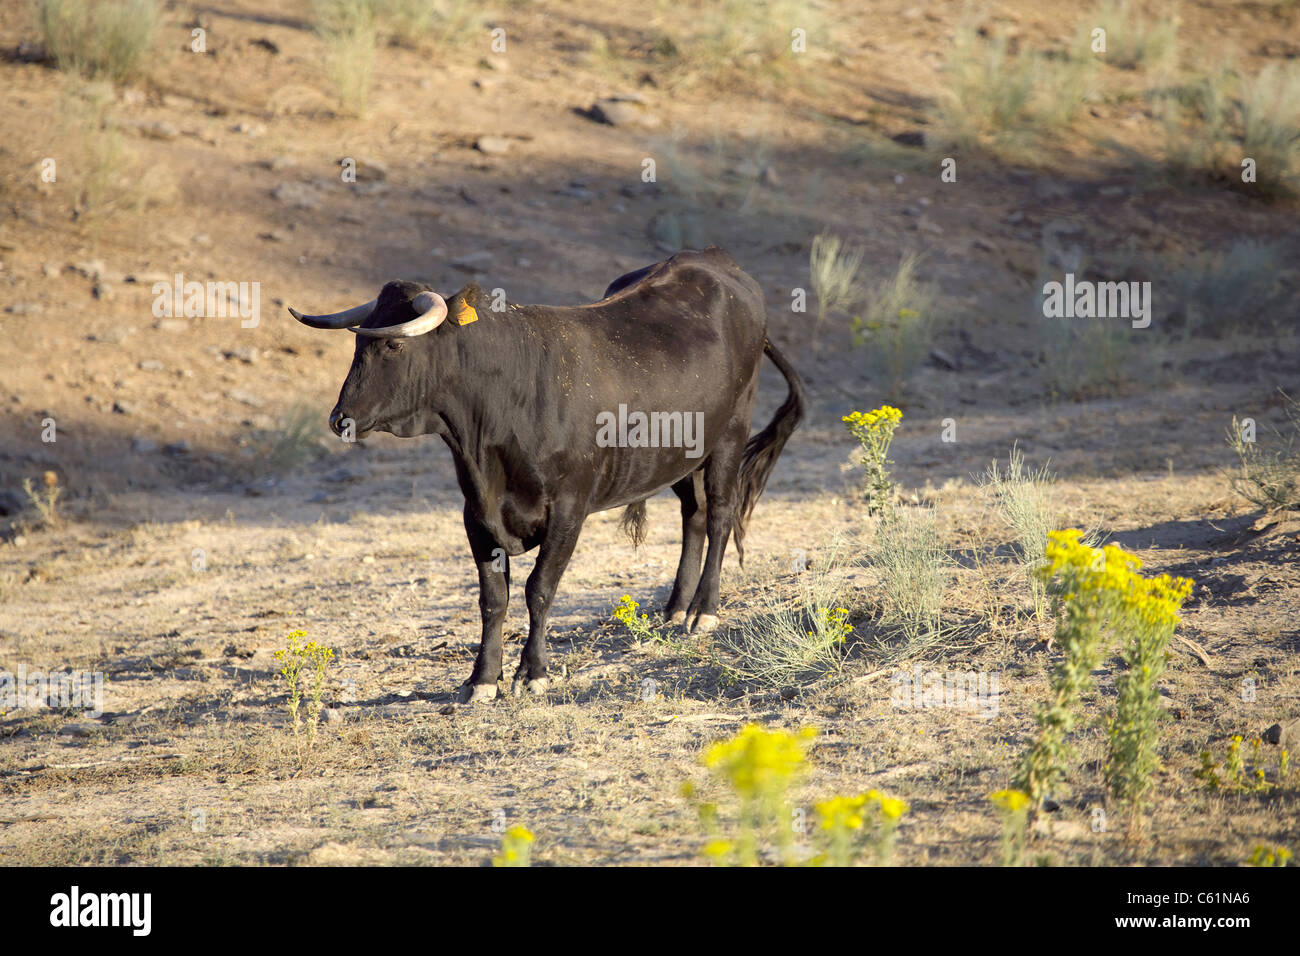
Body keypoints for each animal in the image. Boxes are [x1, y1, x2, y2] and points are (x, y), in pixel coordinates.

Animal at [289, 251, 806, 702]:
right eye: (358, 343)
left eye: (394, 344)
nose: (340, 419)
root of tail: (717, 262)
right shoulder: (476, 515)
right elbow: (493, 598)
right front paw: (482, 680)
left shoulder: (568, 511)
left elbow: (539, 589)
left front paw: (532, 673)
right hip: (680, 453)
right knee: (693, 516)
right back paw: (676, 606)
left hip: (731, 434)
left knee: (719, 515)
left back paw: (703, 612)